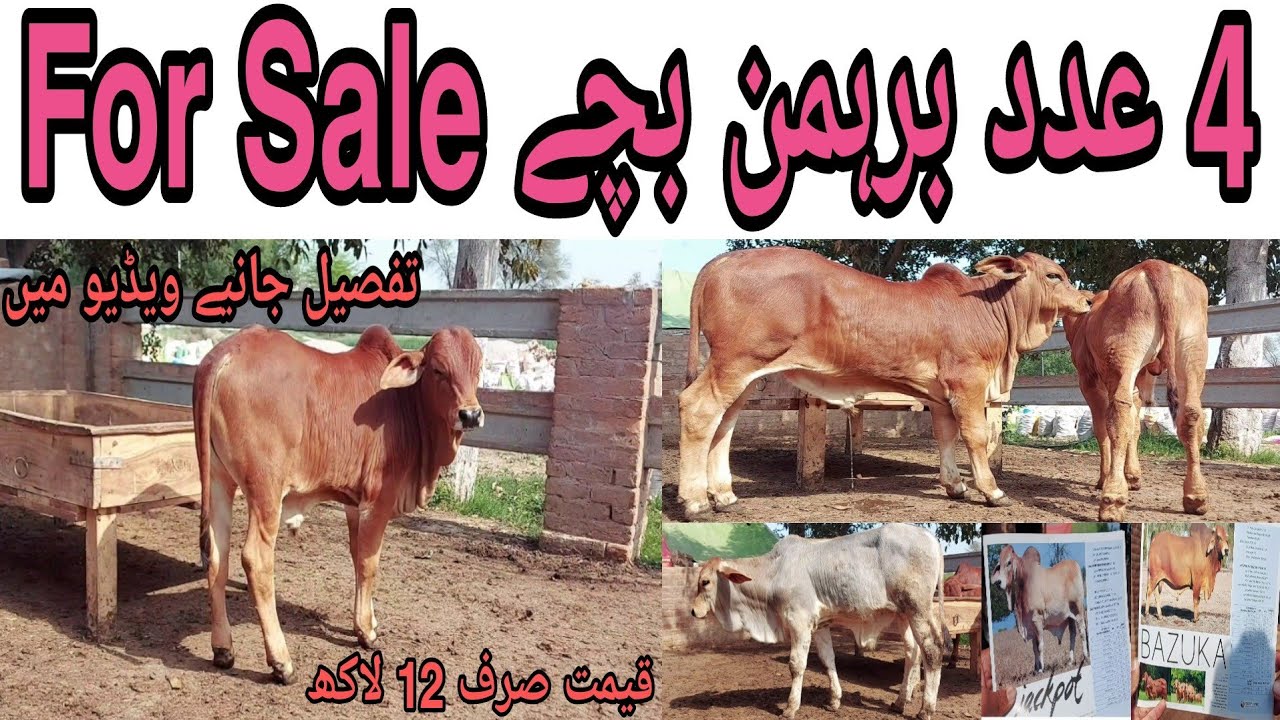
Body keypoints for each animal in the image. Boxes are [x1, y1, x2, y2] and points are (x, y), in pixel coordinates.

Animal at [194, 324, 484, 684]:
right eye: (438, 369)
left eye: (478, 369)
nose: (470, 414)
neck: (406, 402)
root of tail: (225, 353)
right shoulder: (378, 499)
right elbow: (370, 563)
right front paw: (367, 633)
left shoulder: (353, 502)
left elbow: (357, 556)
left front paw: (367, 621)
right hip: (265, 490)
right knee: (256, 560)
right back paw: (282, 663)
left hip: (219, 481)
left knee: (217, 559)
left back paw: (223, 649)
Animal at [678, 247, 1093, 515]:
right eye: (1054, 276)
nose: (1088, 300)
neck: (988, 309)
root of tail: (722, 260)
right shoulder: (968, 381)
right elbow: (975, 436)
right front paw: (991, 490)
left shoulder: (939, 394)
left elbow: (945, 436)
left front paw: (954, 485)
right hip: (735, 363)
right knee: (698, 409)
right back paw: (695, 501)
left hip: (744, 374)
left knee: (725, 423)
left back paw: (723, 495)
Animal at [689, 524, 949, 720]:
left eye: (705, 582)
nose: (692, 611)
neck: (775, 571)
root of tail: (930, 538)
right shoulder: (821, 625)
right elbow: (827, 660)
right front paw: (834, 700)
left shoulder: (799, 622)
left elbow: (796, 665)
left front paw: (790, 707)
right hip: (903, 615)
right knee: (912, 653)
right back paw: (899, 702)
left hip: (918, 608)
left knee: (932, 650)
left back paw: (926, 709)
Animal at [989, 545, 1089, 675]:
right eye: (999, 564)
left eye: (1009, 562)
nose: (998, 582)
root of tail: (1074, 563)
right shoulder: (1030, 624)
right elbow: (1034, 647)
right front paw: (1036, 669)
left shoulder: (1037, 619)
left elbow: (1040, 645)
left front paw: (1042, 669)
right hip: (1069, 615)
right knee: (1072, 634)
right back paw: (1070, 661)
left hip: (1078, 607)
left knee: (1082, 631)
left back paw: (1085, 657)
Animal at [1062, 259, 1210, 521]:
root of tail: (1155, 265)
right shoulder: (1139, 380)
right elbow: (1135, 427)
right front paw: (1132, 476)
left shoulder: (1089, 381)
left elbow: (1104, 429)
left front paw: (1105, 478)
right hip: (1192, 349)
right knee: (1191, 414)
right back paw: (1195, 496)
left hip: (1125, 352)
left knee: (1119, 412)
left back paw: (1112, 500)